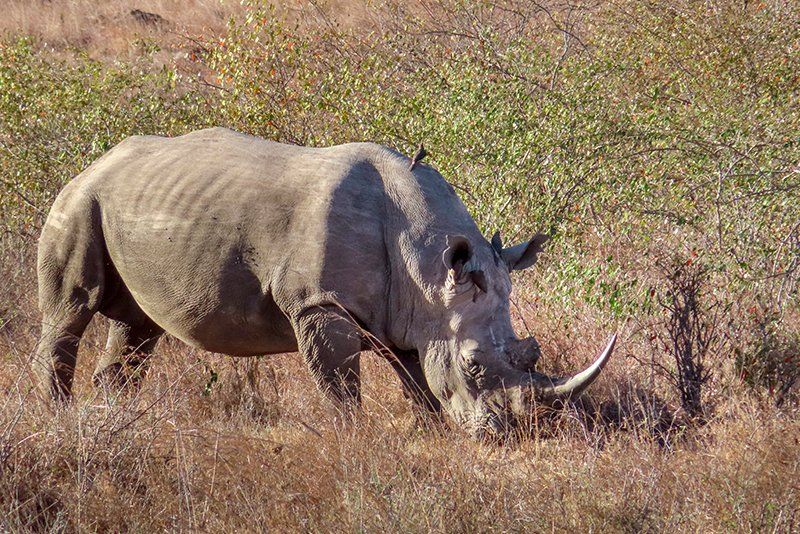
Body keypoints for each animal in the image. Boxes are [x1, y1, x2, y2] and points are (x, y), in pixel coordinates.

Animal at [35, 127, 615, 436]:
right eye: (473, 365)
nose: (510, 436)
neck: (428, 265)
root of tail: (96, 160)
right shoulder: (318, 302)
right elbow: (340, 382)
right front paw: (354, 439)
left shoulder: (414, 315)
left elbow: (419, 381)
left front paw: (431, 431)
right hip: (79, 200)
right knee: (70, 310)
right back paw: (57, 418)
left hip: (134, 203)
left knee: (137, 328)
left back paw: (113, 417)